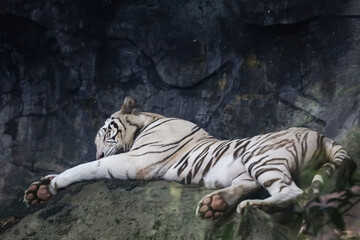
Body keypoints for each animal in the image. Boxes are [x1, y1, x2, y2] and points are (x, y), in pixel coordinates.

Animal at [24, 95, 352, 219]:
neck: (149, 120)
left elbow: (90, 166)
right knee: (252, 185)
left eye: (105, 134)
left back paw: (251, 206)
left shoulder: (136, 160)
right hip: (247, 165)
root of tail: (324, 137)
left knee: (292, 192)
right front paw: (39, 190)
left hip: (261, 156)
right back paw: (215, 204)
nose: (101, 148)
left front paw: (55, 183)